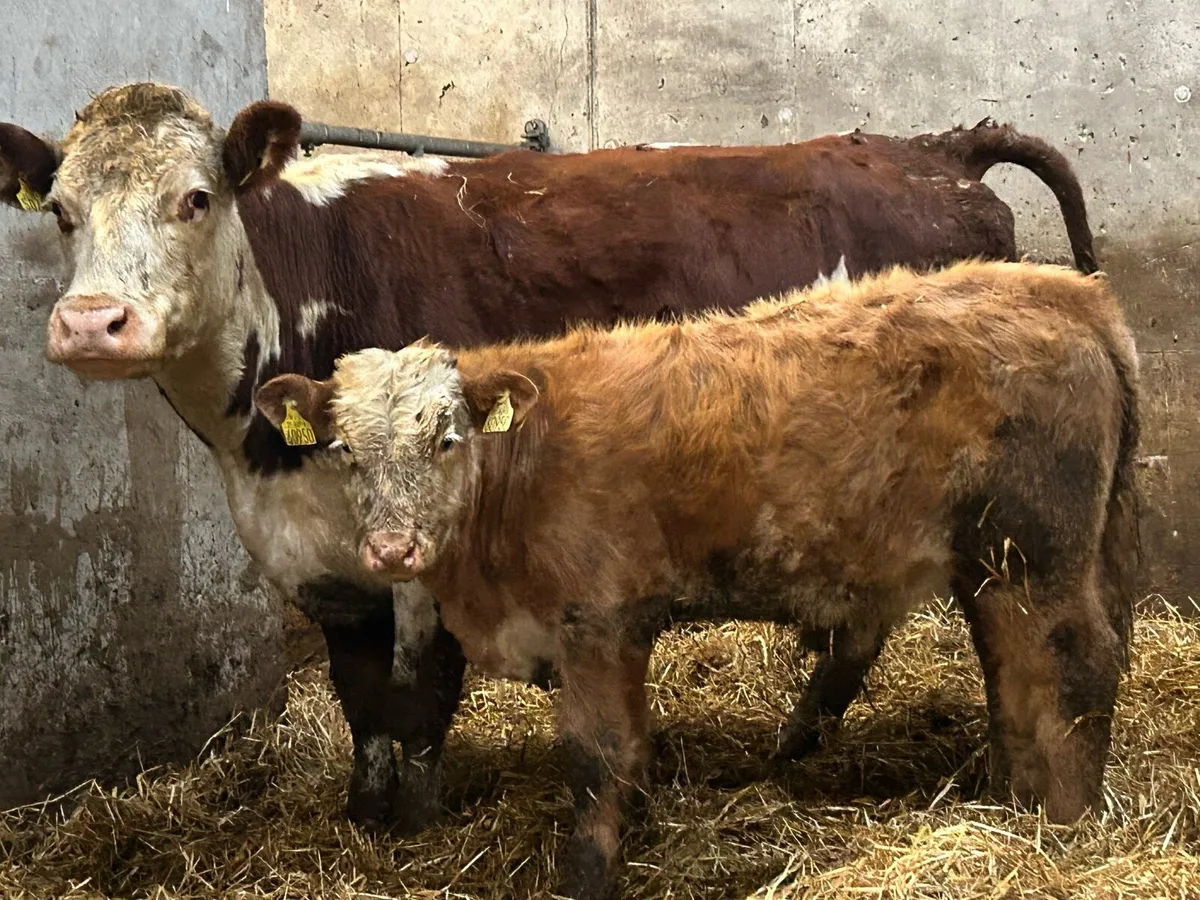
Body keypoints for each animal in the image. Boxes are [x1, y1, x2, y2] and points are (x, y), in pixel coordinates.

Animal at [0, 82, 1100, 832]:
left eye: (195, 198)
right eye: (61, 211)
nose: (93, 323)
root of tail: (930, 149)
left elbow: (421, 695)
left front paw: (418, 823)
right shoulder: (318, 556)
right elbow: (362, 698)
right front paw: (363, 815)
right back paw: (798, 740)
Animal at [253, 260, 1140, 899]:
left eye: (446, 439)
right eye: (342, 450)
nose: (392, 550)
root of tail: (1065, 289)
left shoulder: (596, 621)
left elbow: (597, 753)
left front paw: (588, 877)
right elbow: (630, 747)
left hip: (1036, 553)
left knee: (1079, 662)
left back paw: (1066, 824)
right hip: (992, 567)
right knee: (1012, 674)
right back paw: (1012, 798)